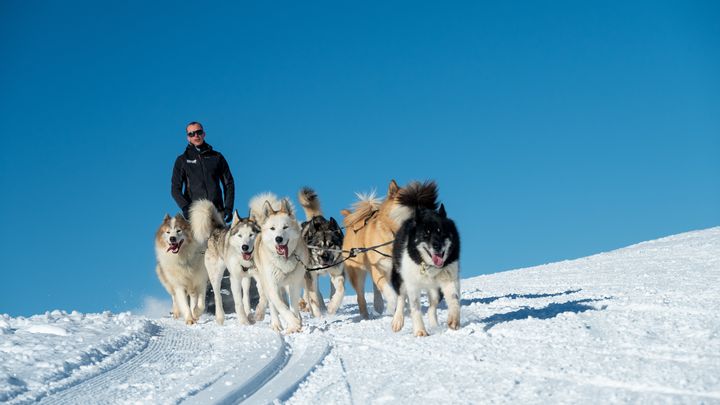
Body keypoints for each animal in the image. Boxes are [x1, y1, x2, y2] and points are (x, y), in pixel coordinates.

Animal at [388, 181, 462, 336]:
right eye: (426, 234)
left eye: (441, 232)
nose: (437, 246)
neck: (429, 266)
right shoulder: (412, 285)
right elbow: (415, 308)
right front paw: (420, 331)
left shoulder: (449, 278)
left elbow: (454, 299)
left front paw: (454, 319)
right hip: (400, 278)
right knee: (401, 298)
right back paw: (397, 321)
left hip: (435, 290)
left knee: (432, 307)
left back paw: (434, 325)